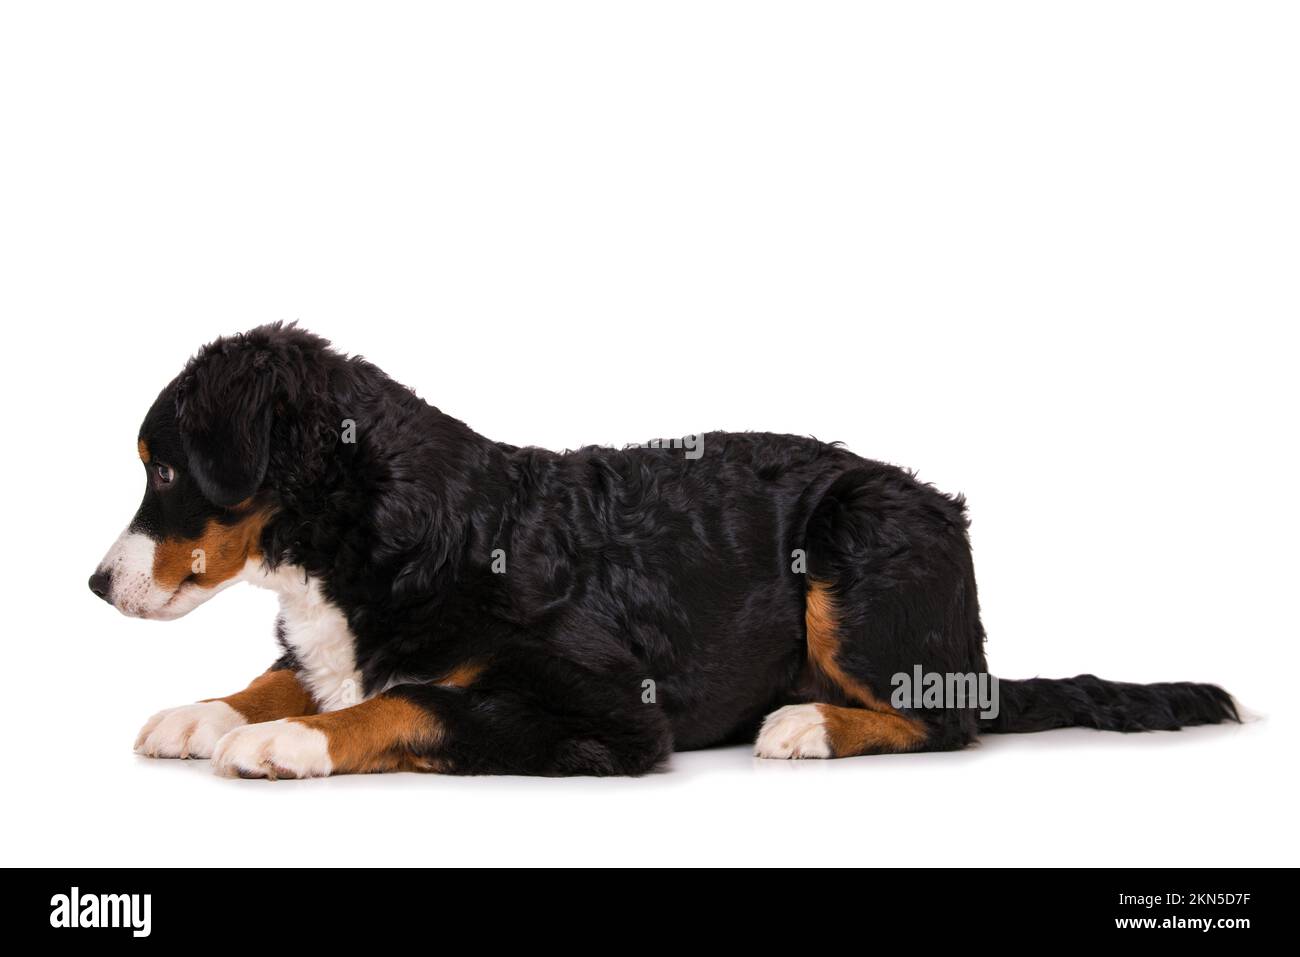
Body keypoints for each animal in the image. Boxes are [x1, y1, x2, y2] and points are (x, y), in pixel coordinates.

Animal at [91, 323, 1237, 780]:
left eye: (164, 469)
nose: (95, 584)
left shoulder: (602, 711)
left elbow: (410, 701)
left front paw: (287, 743)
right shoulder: (335, 640)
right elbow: (300, 674)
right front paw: (207, 711)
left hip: (858, 540)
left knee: (942, 721)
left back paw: (808, 725)